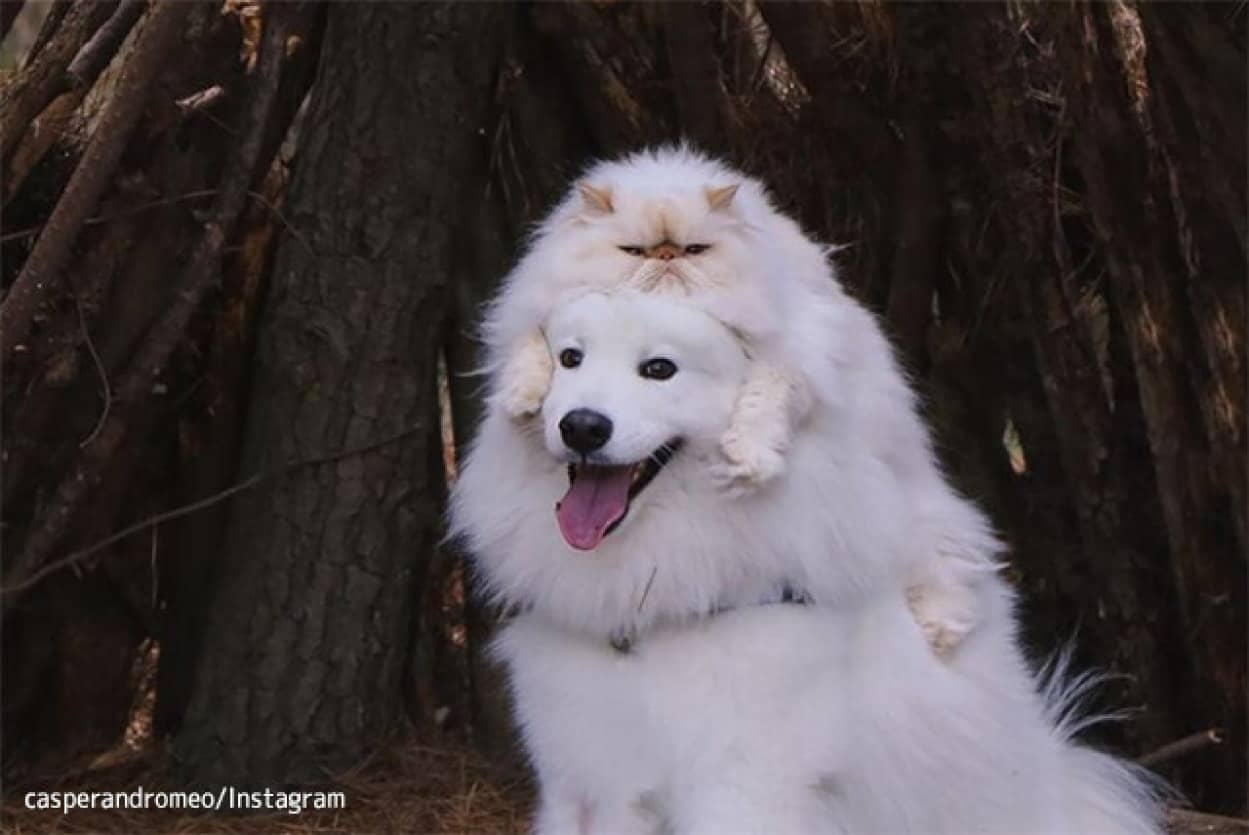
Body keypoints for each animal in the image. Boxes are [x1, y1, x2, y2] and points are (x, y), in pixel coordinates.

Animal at [454, 288, 1164, 833]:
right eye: (569, 358)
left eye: (658, 369)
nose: (581, 426)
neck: (651, 617)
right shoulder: (595, 787)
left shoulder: (745, 789)